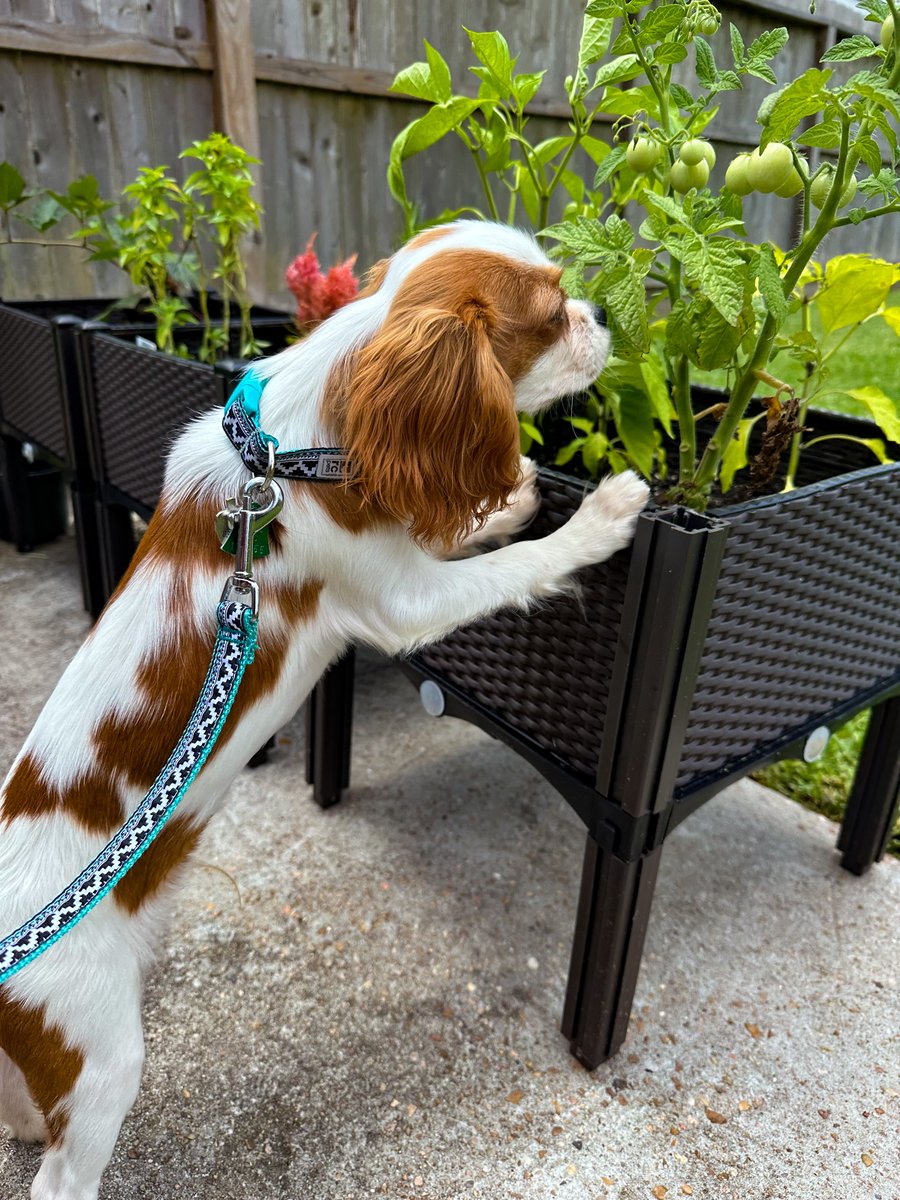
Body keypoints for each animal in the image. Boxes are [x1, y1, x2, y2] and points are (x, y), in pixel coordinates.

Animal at [0, 220, 648, 1195]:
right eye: (549, 312)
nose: (602, 314)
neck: (294, 453)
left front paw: (513, 497)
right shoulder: (402, 601)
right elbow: (511, 570)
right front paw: (599, 515)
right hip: (98, 1046)